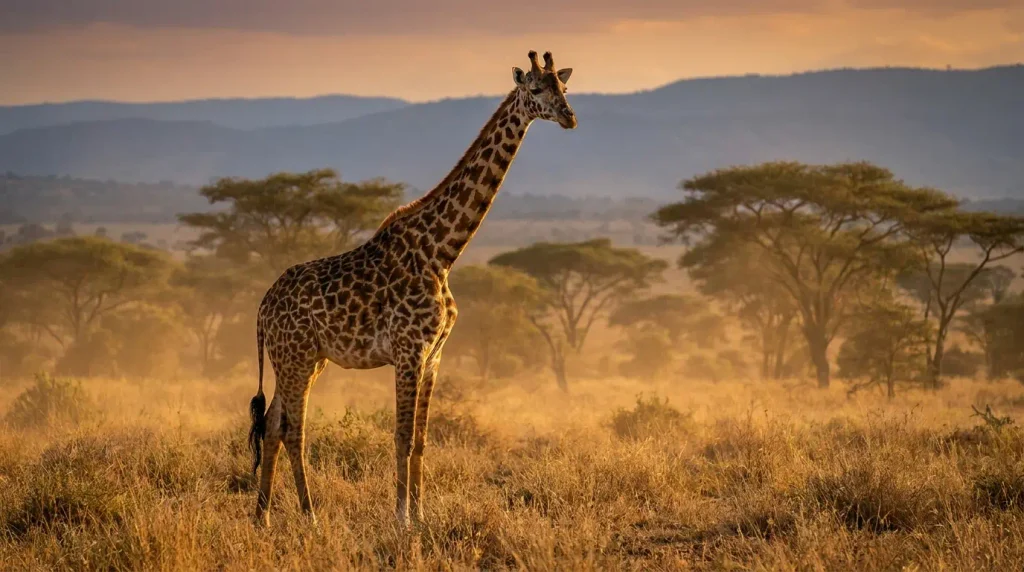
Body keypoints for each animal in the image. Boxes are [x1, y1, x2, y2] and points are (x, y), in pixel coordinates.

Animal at [247, 50, 577, 528]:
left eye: (564, 88)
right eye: (535, 89)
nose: (570, 117)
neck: (442, 252)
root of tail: (262, 307)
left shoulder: (435, 354)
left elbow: (420, 439)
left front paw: (421, 516)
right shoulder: (408, 351)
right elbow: (401, 436)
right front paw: (401, 519)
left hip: (304, 359)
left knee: (272, 424)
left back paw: (263, 516)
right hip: (296, 357)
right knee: (294, 429)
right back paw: (309, 516)